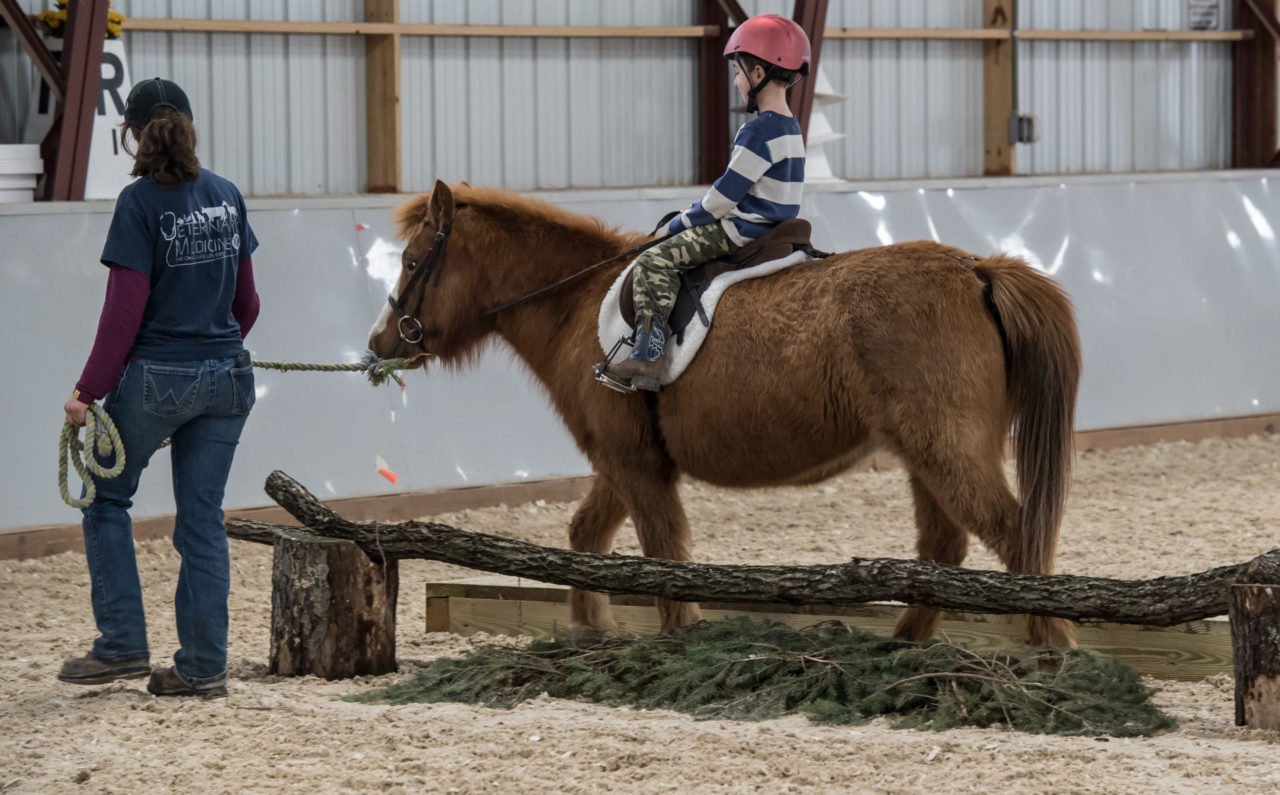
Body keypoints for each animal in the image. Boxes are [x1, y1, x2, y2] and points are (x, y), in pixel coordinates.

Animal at [371, 179, 1080, 645]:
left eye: (411, 261)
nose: (381, 342)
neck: (576, 301)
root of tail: (978, 270)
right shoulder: (621, 461)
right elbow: (587, 537)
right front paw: (589, 629)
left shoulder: (632, 464)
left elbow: (663, 553)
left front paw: (677, 636)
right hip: (924, 454)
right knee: (943, 548)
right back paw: (904, 644)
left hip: (946, 449)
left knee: (1014, 534)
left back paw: (1049, 645)